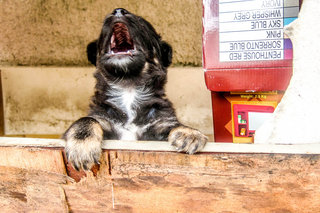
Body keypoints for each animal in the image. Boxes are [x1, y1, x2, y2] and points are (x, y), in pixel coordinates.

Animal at [63, 8, 208, 171]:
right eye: (101, 33)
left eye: (142, 23)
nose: (118, 10)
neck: (128, 86)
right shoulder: (102, 119)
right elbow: (87, 119)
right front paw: (82, 144)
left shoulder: (158, 127)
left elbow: (174, 124)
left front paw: (189, 133)